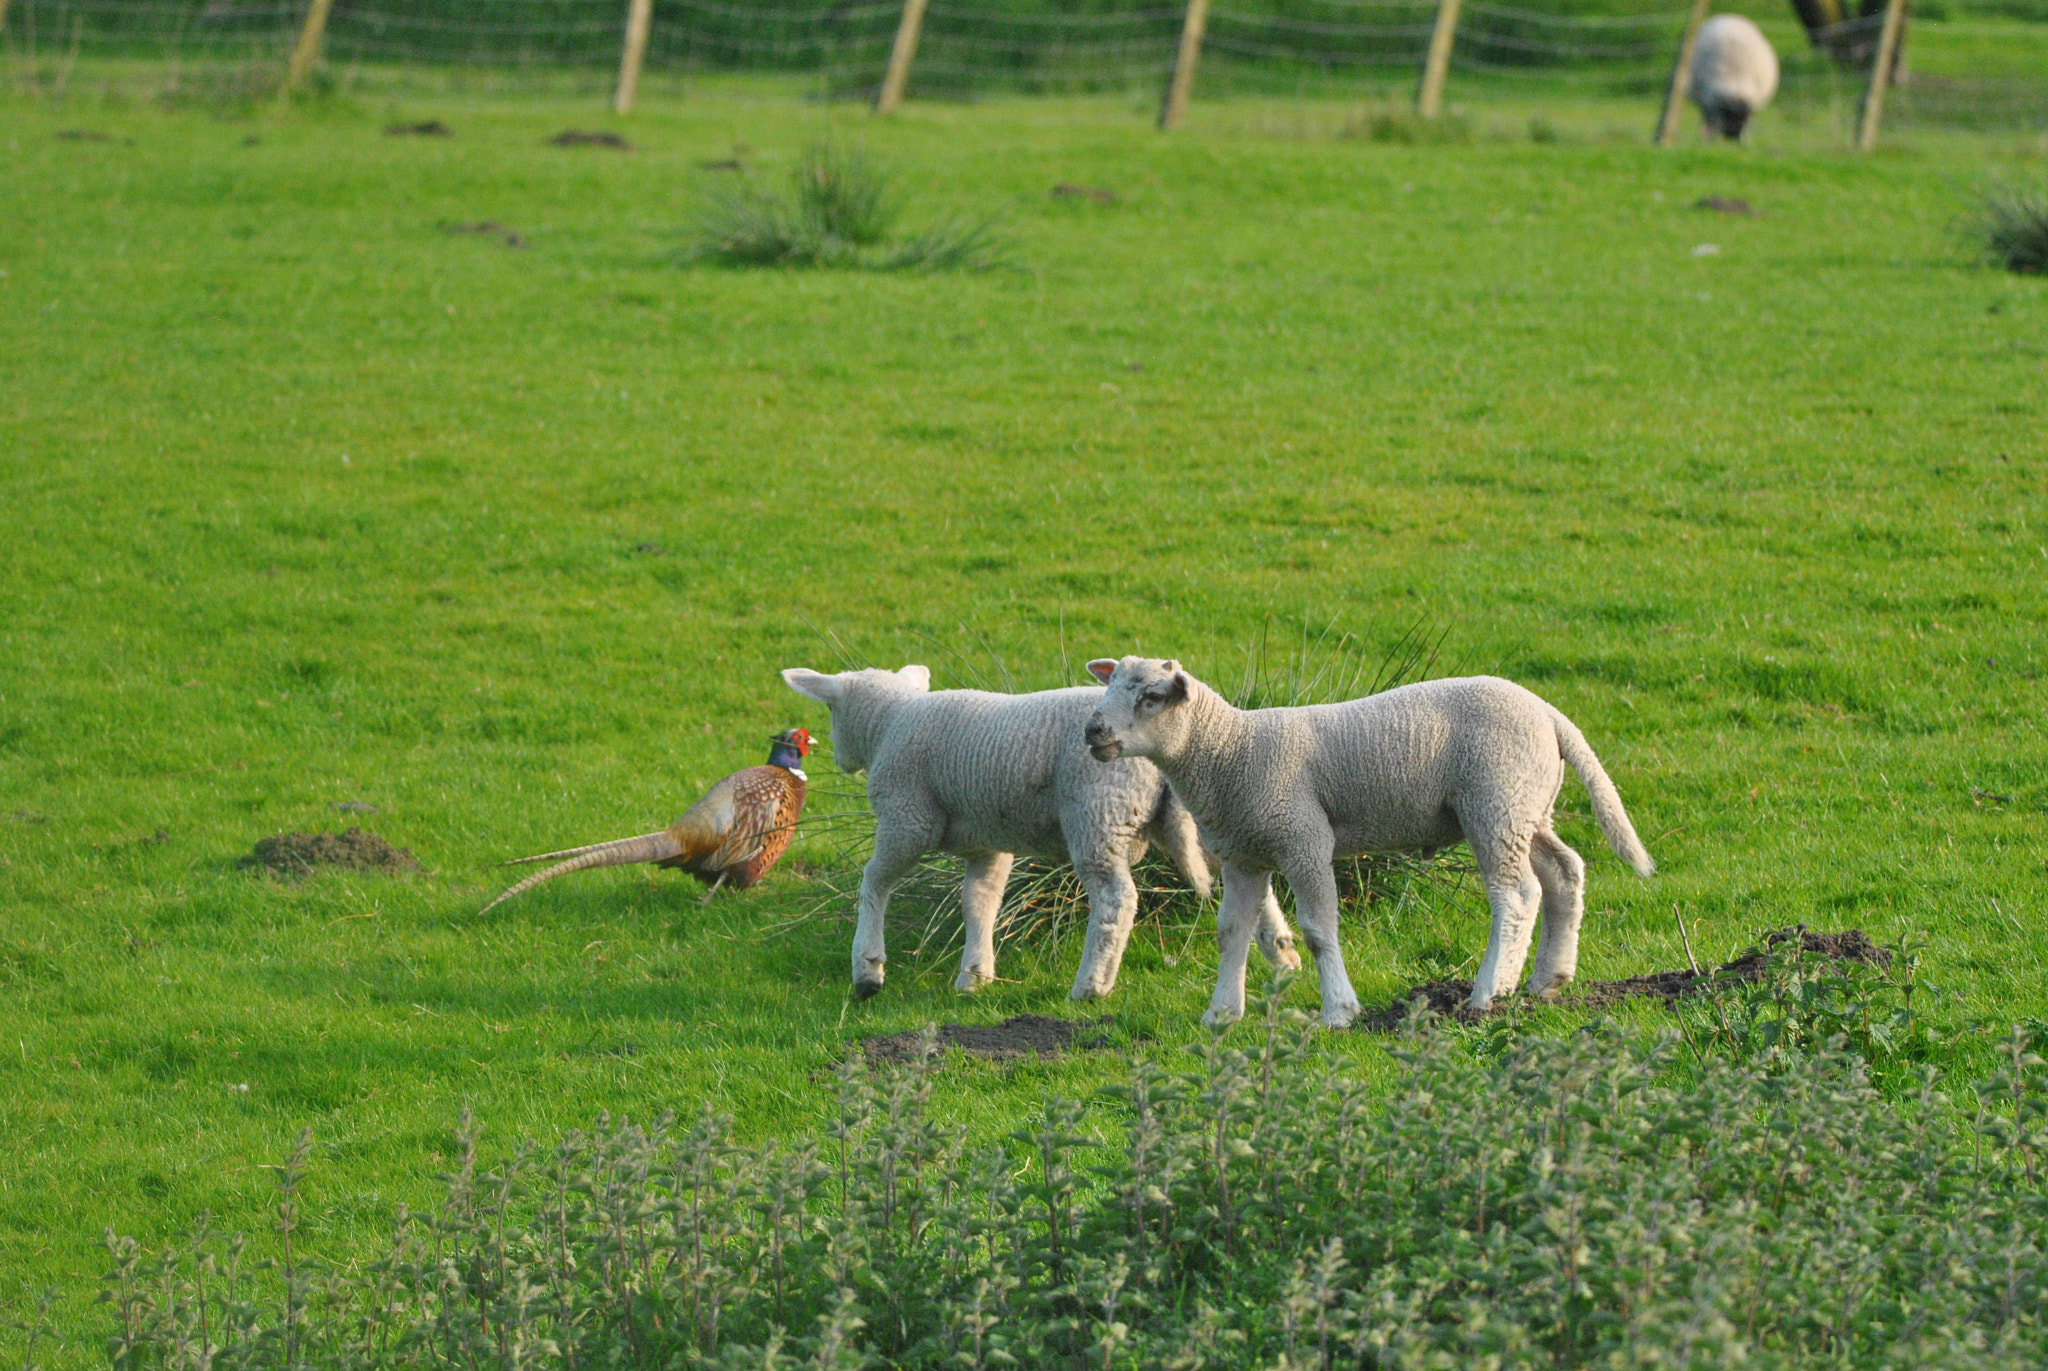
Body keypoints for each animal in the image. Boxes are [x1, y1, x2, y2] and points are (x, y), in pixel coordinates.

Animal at [782, 663, 1294, 1000]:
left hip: (1097, 813)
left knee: (1116, 901)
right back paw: (1283, 955)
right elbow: (980, 901)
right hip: (1207, 811)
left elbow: (874, 882)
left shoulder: (906, 817)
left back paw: (1091, 985)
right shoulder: (987, 843)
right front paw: (975, 975)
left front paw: (868, 968)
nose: (840, 760)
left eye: (831, 710)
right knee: (1252, 882)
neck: (889, 723)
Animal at [1081, 655, 1654, 1024]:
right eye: (1109, 689)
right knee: (1564, 873)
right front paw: (1222, 1013)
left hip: (1496, 802)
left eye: (1153, 697)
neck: (1229, 750)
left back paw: (1490, 991)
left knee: (1516, 896)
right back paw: (1548, 980)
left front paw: (1339, 1010)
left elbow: (1317, 930)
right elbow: (1231, 933)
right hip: (1527, 806)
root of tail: (1548, 713)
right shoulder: (1244, 854)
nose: (1093, 732)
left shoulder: (1303, 839)